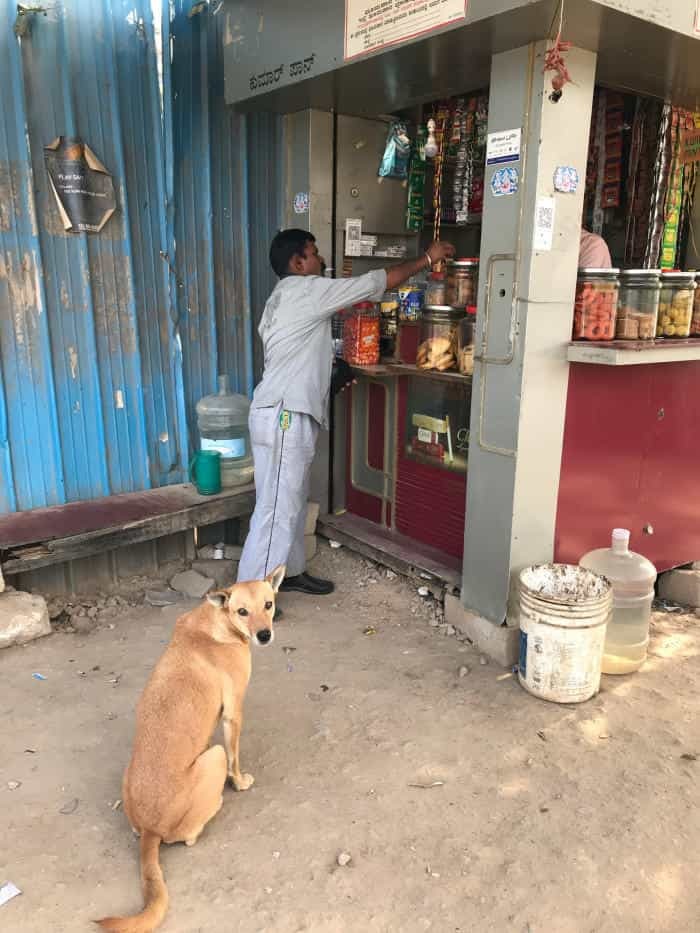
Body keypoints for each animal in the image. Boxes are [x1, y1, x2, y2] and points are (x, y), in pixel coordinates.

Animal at [97, 564, 286, 928]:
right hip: (213, 759)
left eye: (268, 604)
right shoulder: (233, 714)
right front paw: (239, 783)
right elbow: (236, 758)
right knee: (191, 833)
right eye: (243, 611)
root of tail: (150, 831)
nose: (264, 635)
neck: (218, 621)